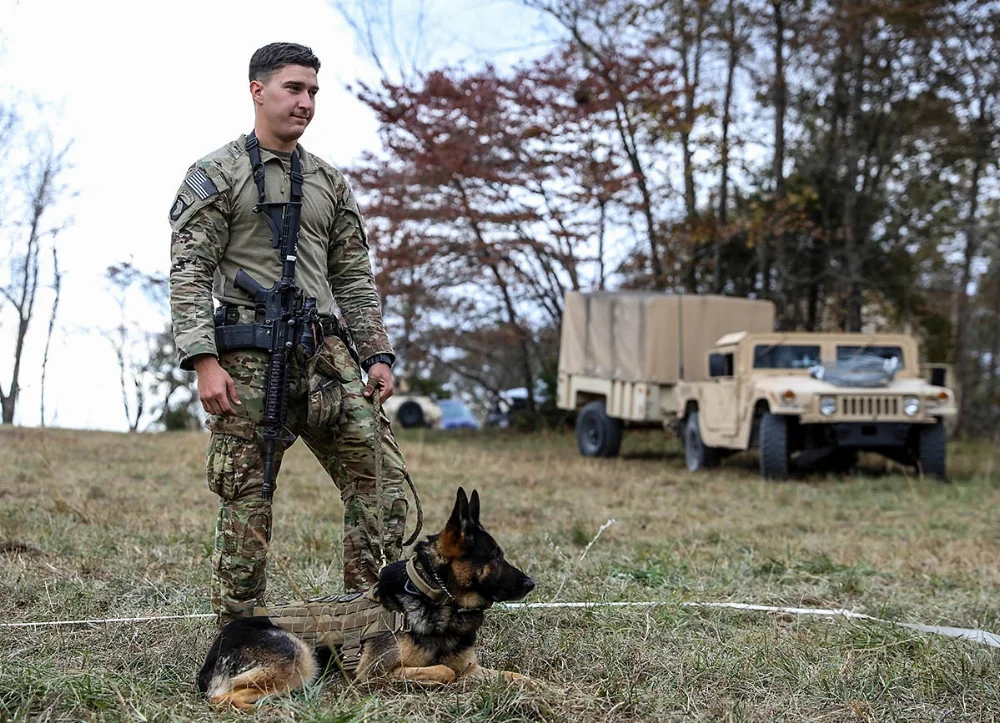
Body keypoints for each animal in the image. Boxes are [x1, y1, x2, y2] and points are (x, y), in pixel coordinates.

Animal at [198, 486, 536, 712]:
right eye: (495, 556)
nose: (532, 583)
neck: (434, 596)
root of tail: (220, 641)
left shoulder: (472, 668)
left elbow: (514, 675)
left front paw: (537, 687)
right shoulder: (373, 674)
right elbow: (444, 671)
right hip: (300, 657)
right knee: (220, 698)